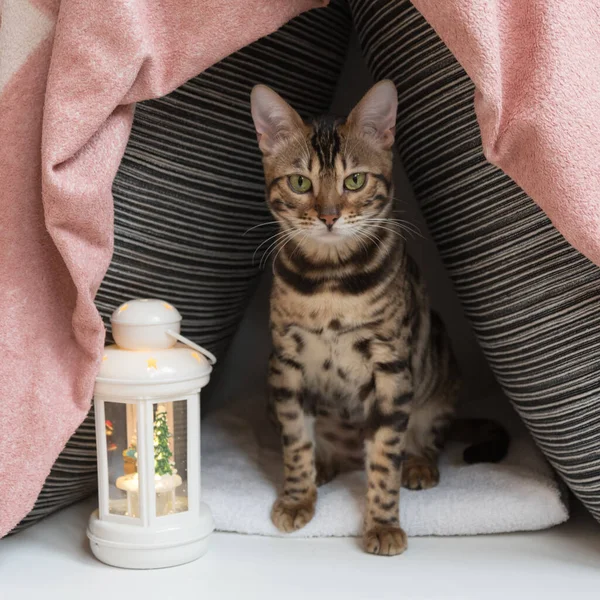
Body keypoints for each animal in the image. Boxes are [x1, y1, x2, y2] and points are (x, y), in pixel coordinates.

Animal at [248, 82, 506, 556]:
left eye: (355, 180)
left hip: (438, 377)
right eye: (299, 182)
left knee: (428, 438)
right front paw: (297, 497)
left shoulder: (390, 368)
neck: (330, 282)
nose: (329, 215)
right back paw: (326, 465)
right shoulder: (286, 363)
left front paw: (383, 524)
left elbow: (386, 457)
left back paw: (419, 464)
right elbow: (296, 442)